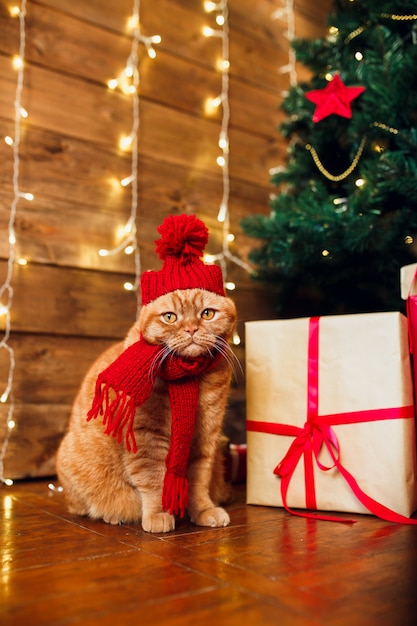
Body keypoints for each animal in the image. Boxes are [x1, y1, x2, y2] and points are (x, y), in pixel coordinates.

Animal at [56, 286, 236, 532]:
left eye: (207, 313)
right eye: (170, 317)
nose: (191, 328)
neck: (193, 377)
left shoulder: (205, 438)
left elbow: (198, 480)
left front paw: (203, 510)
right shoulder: (147, 438)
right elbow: (154, 480)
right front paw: (159, 513)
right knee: (85, 506)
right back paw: (113, 515)